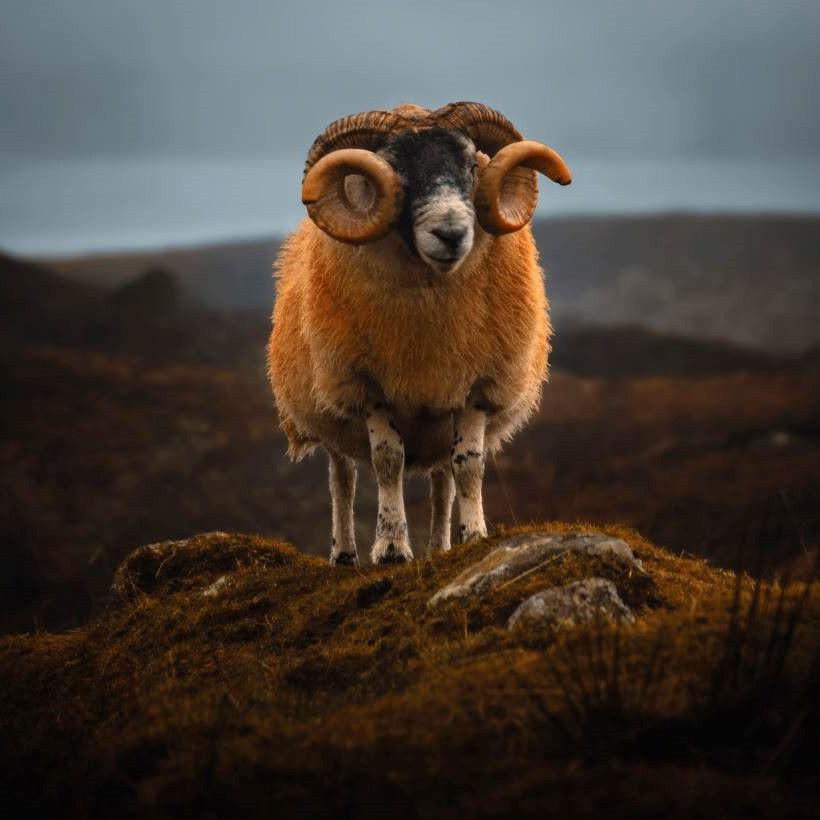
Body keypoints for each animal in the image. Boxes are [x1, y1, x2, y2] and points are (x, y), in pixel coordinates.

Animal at [270, 101, 572, 564]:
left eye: (471, 164)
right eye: (394, 169)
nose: (450, 233)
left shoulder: (475, 385)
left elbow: (468, 465)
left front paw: (475, 536)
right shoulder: (367, 386)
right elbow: (387, 462)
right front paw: (392, 547)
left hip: (438, 418)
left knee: (442, 479)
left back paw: (439, 546)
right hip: (330, 408)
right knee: (342, 479)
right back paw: (344, 554)